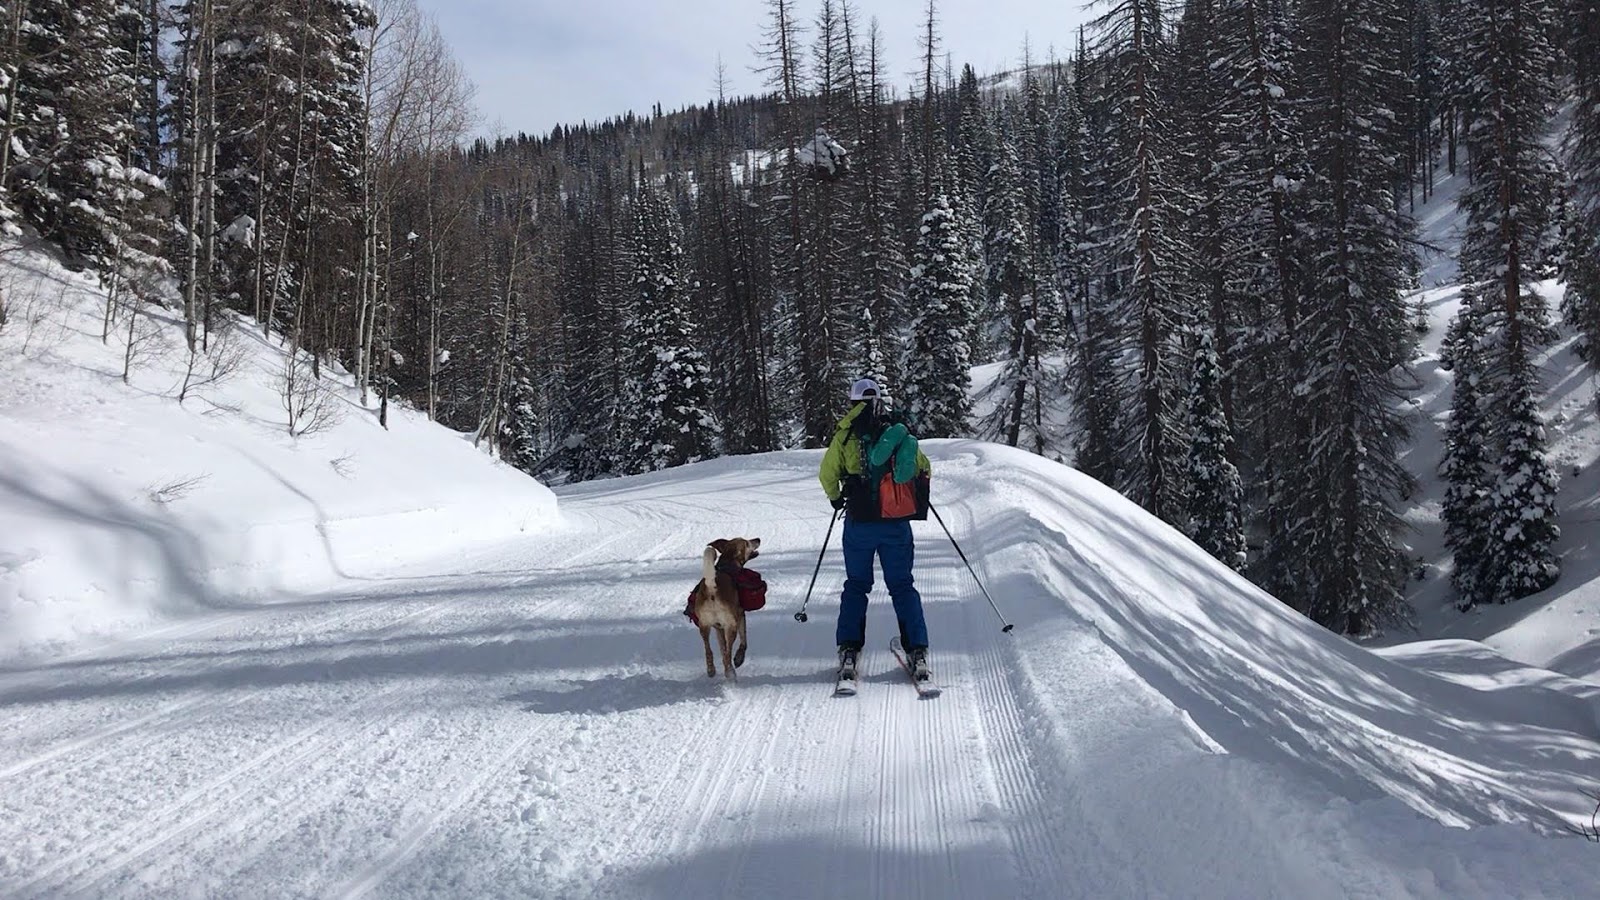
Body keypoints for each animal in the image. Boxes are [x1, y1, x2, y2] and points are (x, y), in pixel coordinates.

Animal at [691, 534, 758, 675]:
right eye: (747, 543)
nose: (758, 539)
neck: (728, 562)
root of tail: (712, 588)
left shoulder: (718, 628)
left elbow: (722, 649)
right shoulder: (741, 616)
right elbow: (743, 641)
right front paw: (739, 659)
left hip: (704, 626)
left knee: (709, 650)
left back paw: (712, 670)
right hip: (730, 626)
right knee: (728, 653)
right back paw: (731, 674)